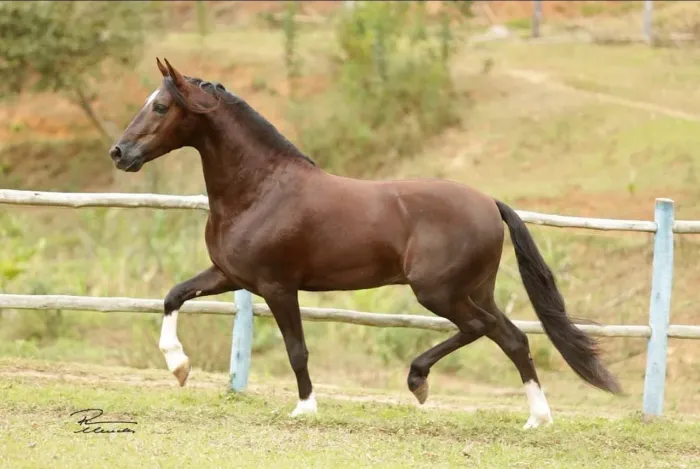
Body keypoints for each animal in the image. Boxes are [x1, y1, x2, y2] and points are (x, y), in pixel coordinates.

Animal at [109, 58, 621, 429]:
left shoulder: (277, 287)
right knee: (513, 338)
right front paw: (179, 367)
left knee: (482, 330)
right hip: (475, 290)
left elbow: (297, 350)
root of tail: (489, 203)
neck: (260, 190)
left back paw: (419, 381)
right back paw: (537, 418)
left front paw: (306, 408)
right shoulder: (229, 275)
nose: (119, 153)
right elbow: (173, 295)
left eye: (160, 107)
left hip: (440, 292)